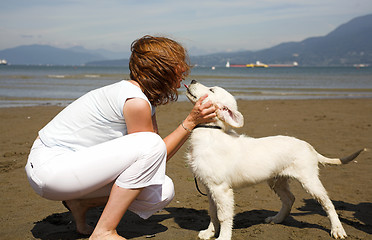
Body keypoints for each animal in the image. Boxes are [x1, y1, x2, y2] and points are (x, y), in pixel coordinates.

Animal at [185, 80, 364, 240]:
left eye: (211, 90)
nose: (192, 80)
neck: (210, 131)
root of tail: (309, 147)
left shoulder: (221, 189)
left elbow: (223, 216)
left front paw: (223, 237)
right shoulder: (210, 188)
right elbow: (213, 212)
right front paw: (209, 233)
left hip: (309, 180)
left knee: (328, 203)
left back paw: (337, 229)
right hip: (277, 180)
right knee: (289, 199)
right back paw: (276, 219)